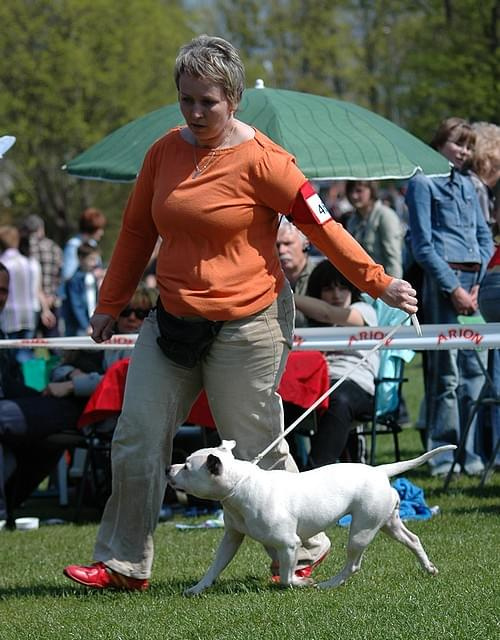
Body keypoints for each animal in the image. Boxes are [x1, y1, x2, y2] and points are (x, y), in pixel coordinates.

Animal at [166, 440, 456, 596]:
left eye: (188, 466)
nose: (169, 468)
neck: (240, 485)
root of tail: (379, 471)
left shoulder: (289, 544)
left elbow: (285, 576)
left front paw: (299, 581)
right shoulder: (232, 538)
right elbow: (215, 566)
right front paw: (198, 588)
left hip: (361, 531)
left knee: (353, 564)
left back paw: (329, 584)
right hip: (387, 522)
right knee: (413, 539)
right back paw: (428, 568)